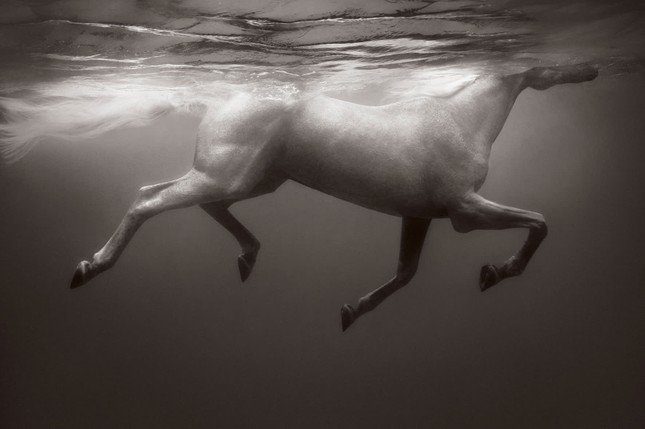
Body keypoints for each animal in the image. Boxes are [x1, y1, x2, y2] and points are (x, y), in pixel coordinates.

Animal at [66, 63, 600, 332]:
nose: (591, 69)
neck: (463, 118)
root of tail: (224, 97)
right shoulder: (463, 211)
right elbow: (540, 222)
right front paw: (496, 271)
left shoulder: (418, 215)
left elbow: (405, 273)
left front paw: (351, 311)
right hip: (228, 175)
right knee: (148, 201)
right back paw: (90, 266)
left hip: (250, 179)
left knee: (184, 199)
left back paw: (248, 256)